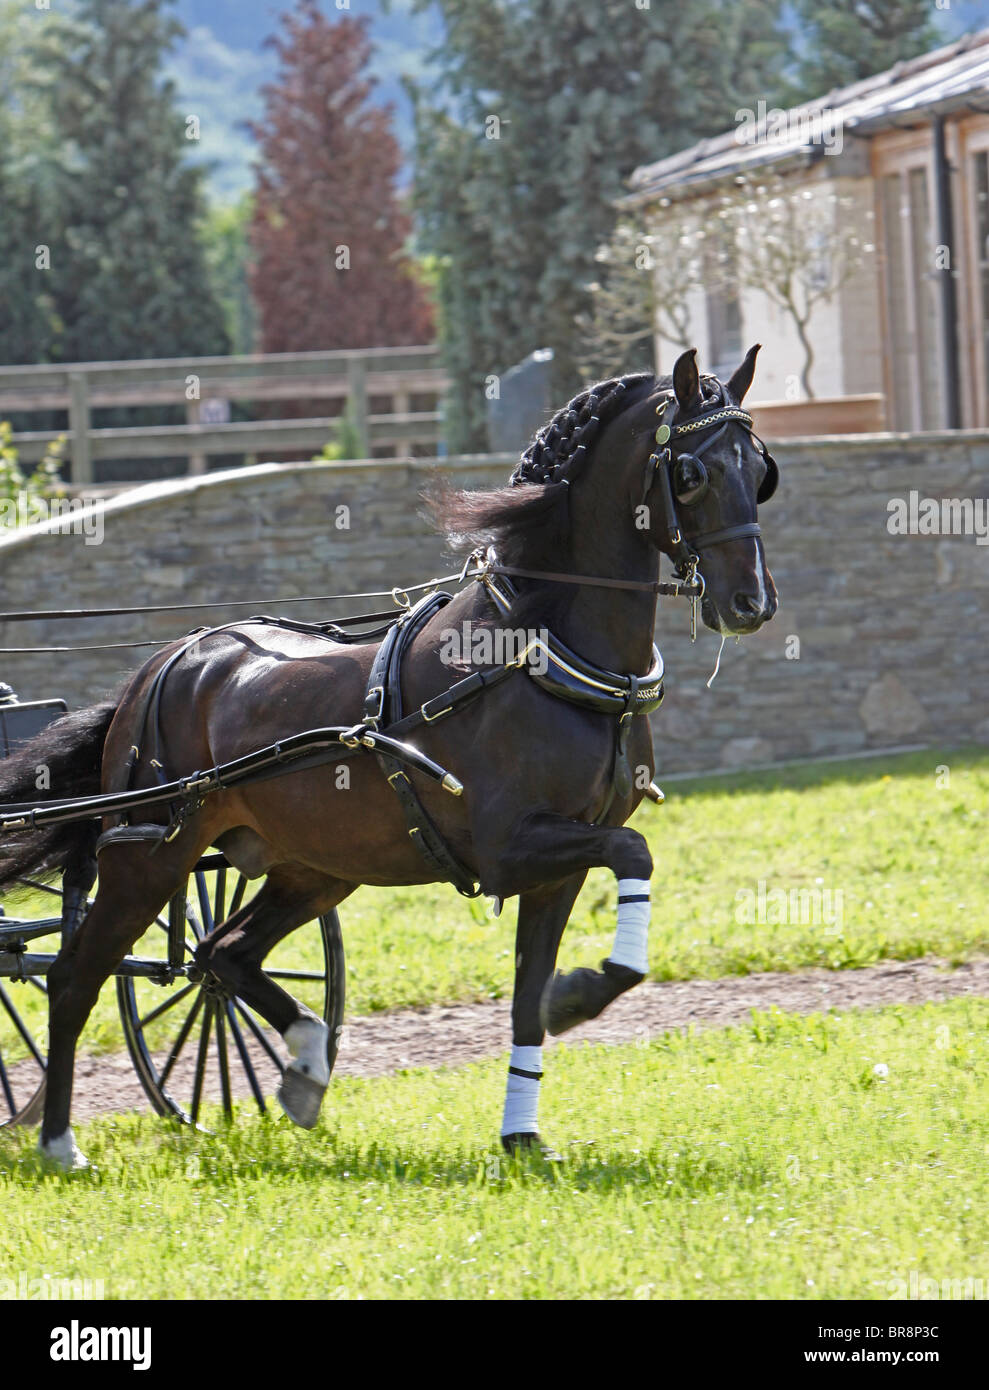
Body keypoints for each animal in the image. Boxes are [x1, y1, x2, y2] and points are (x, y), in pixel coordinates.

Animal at [0, 345, 778, 1169]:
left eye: (760, 467)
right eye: (690, 472)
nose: (751, 604)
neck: (536, 650)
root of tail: (162, 665)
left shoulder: (558, 867)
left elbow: (527, 1002)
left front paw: (523, 1133)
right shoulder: (510, 849)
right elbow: (634, 852)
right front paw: (580, 995)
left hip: (315, 865)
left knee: (222, 954)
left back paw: (308, 1063)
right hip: (149, 855)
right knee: (78, 978)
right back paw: (59, 1141)